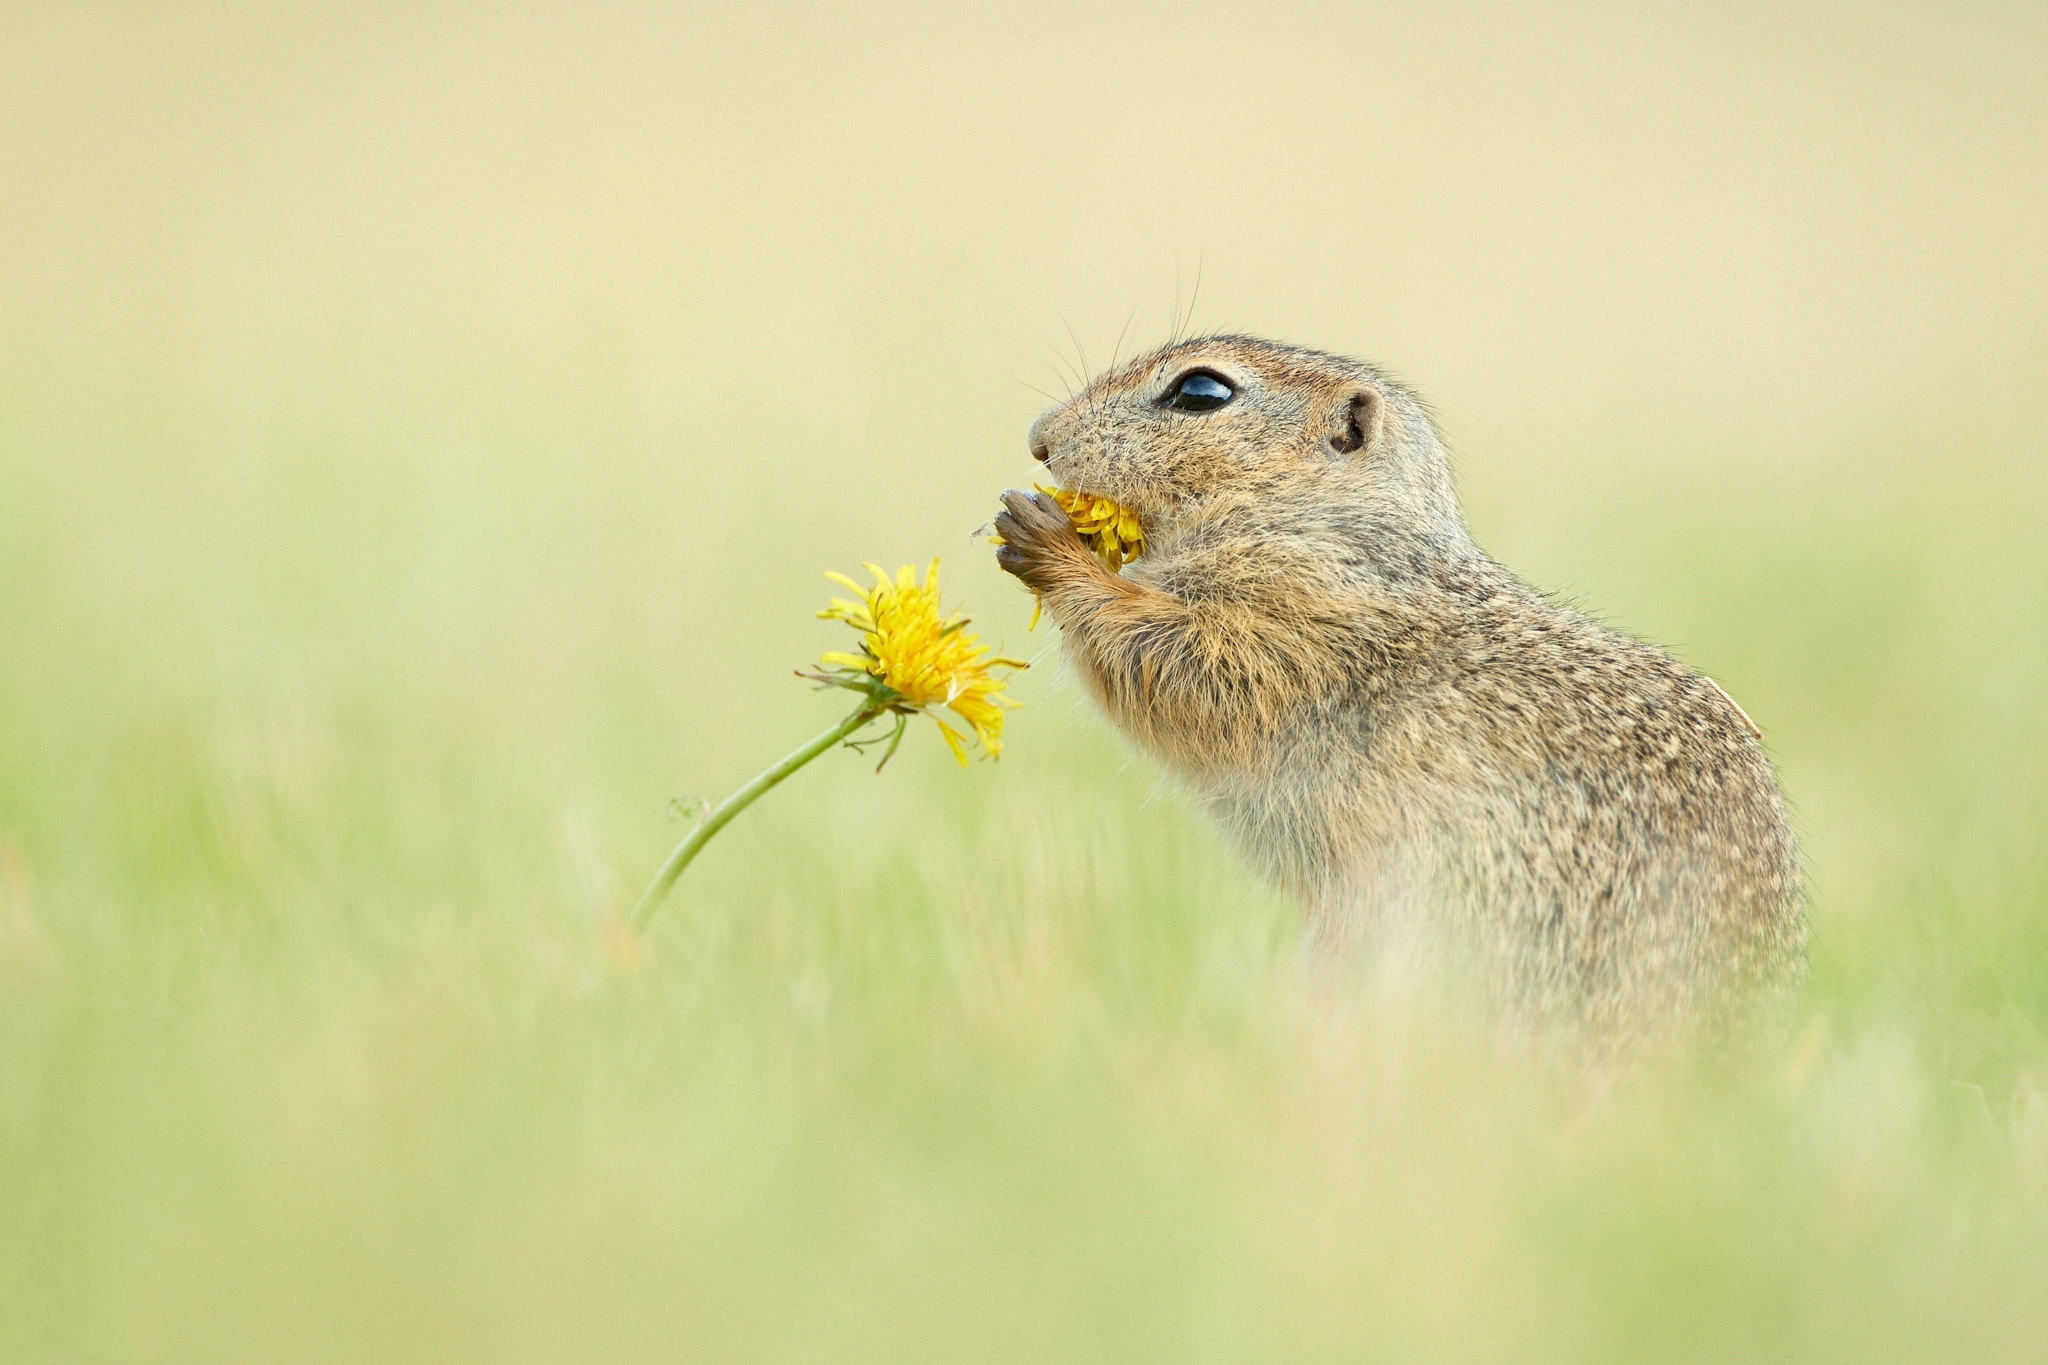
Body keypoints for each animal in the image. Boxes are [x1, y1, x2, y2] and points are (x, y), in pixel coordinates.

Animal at [999, 335, 1802, 1039]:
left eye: (1200, 391)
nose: (1040, 438)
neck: (1330, 526)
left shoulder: (1303, 623)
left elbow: (1181, 666)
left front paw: (1049, 542)